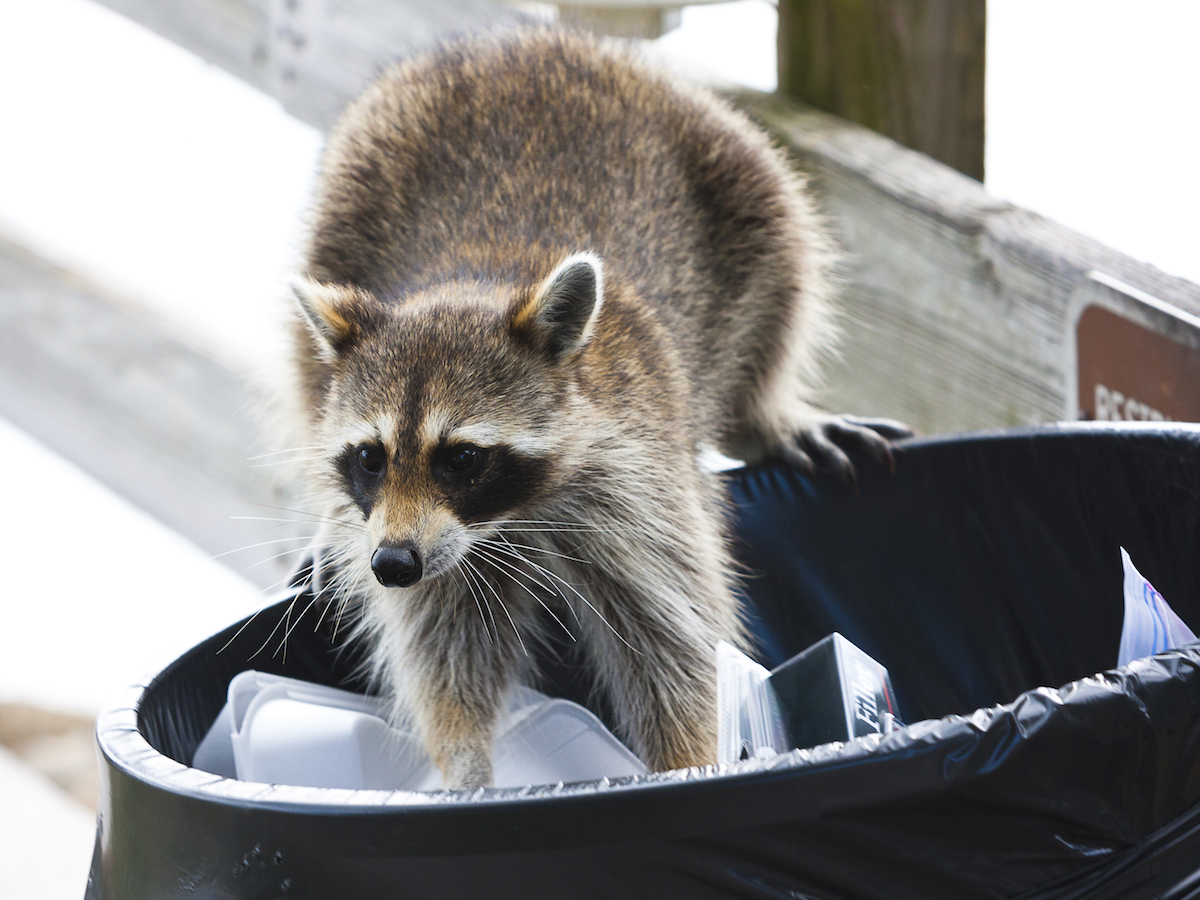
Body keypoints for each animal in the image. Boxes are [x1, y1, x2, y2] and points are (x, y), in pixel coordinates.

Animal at [287, 28, 907, 789]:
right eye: (370, 458)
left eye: (461, 458)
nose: (392, 564)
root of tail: (523, 39)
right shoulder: (431, 543)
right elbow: (443, 642)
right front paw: (465, 762)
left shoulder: (642, 483)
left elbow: (676, 641)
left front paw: (689, 762)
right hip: (346, 199)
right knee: (304, 362)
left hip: (736, 174)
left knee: (782, 275)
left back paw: (766, 414)